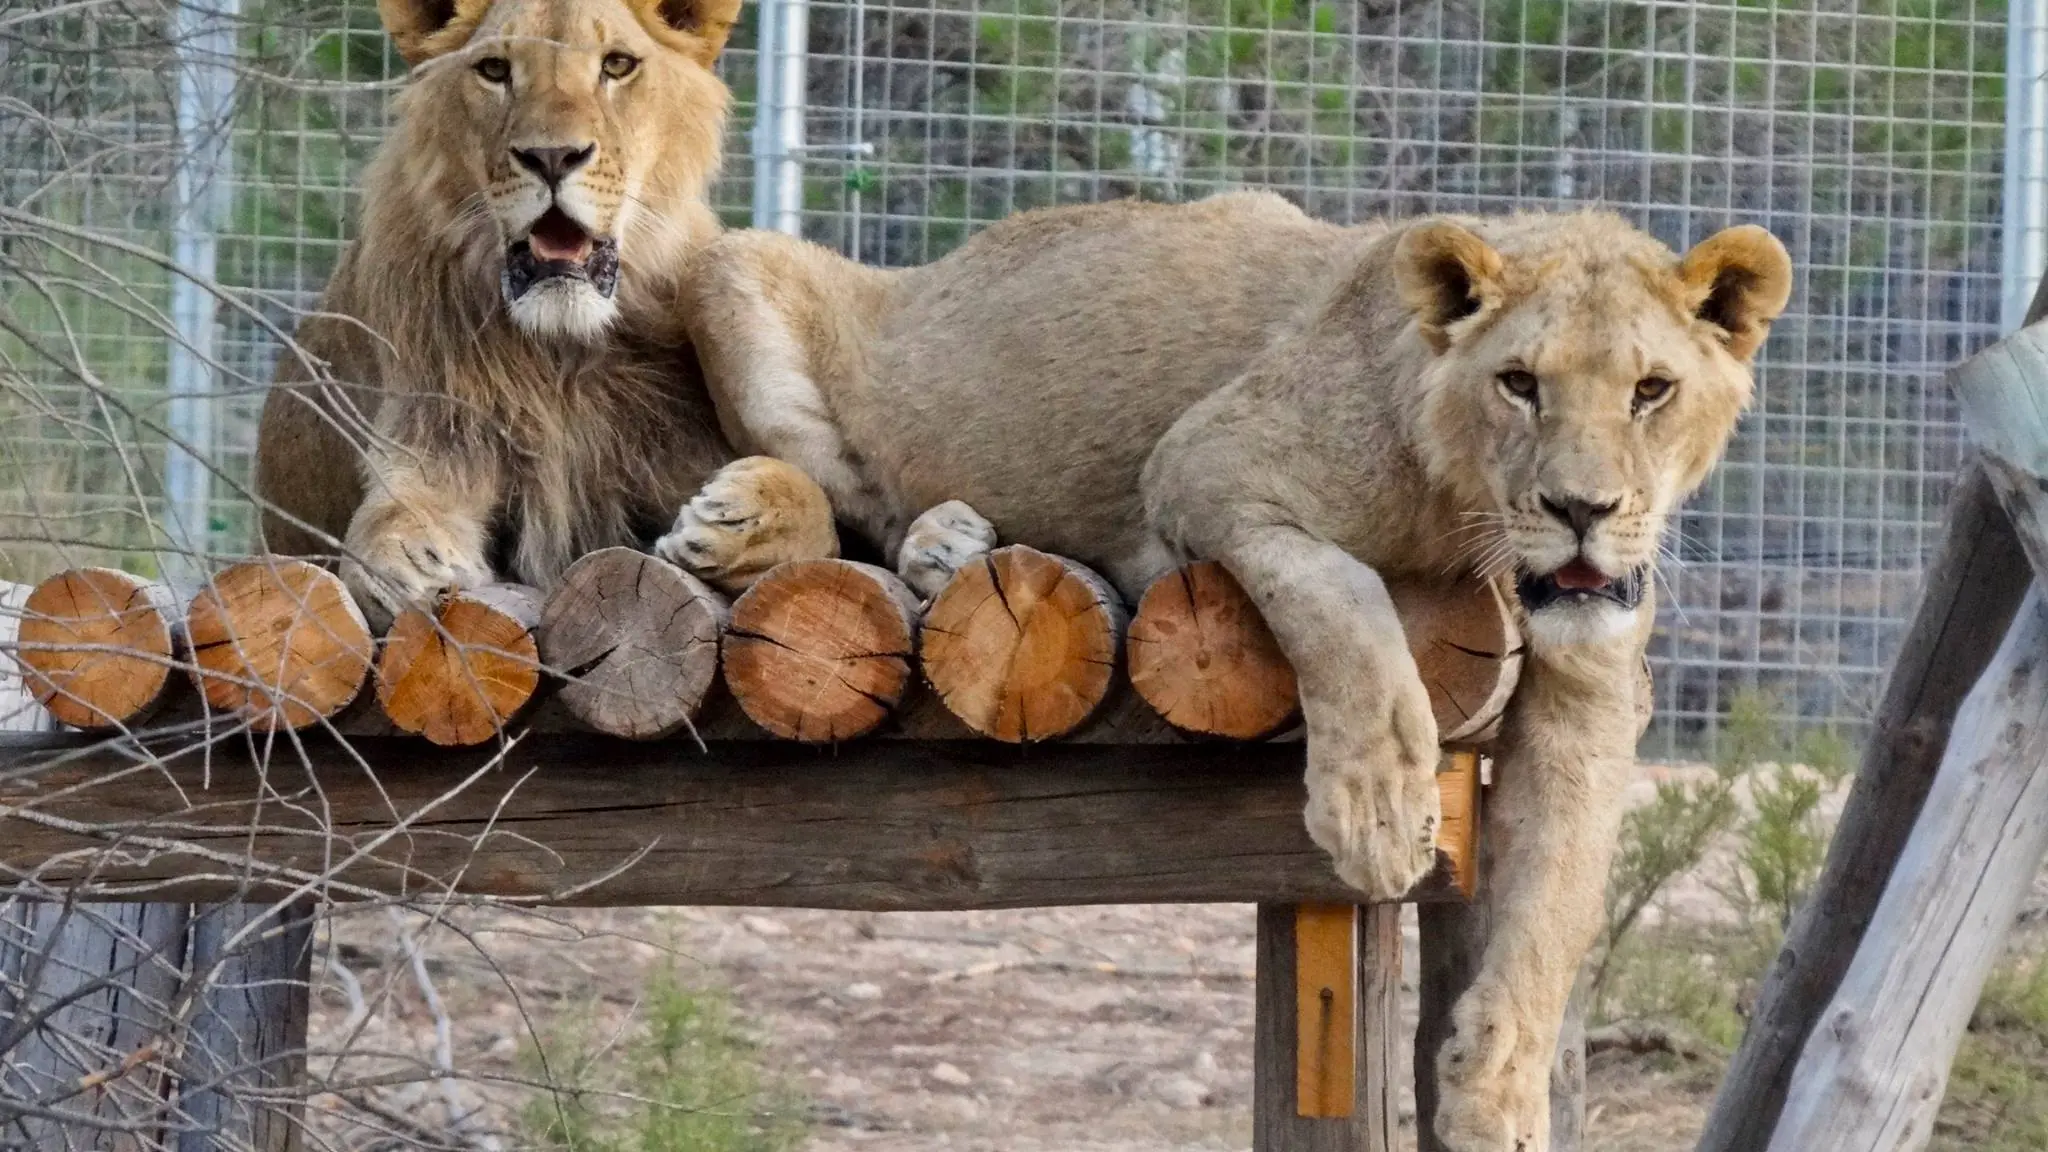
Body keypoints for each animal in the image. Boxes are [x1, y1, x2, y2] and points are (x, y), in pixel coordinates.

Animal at [251, 0, 827, 619]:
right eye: (495, 70)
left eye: (617, 65)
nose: (552, 157)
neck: (562, 352)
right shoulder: (436, 436)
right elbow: (389, 518)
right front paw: (408, 563)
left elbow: (820, 517)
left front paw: (742, 516)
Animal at [659, 192, 1794, 1139]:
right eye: (1519, 384)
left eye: (1651, 391)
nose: (1581, 511)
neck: (1467, 517)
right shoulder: (1208, 461)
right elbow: (1342, 594)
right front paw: (1377, 813)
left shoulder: (1594, 685)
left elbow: (1555, 904)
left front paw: (1494, 1099)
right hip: (731, 270)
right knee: (849, 508)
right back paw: (785, 527)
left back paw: (942, 537)